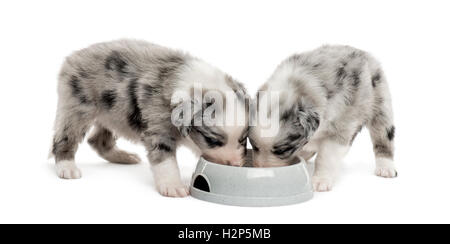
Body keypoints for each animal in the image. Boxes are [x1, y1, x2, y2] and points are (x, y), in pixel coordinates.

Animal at [50, 39, 248, 197]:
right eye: (212, 140)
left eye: (243, 139)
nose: (236, 164)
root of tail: (73, 56)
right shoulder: (158, 132)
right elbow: (166, 160)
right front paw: (173, 186)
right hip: (77, 109)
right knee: (64, 139)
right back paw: (67, 167)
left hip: (112, 115)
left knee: (97, 140)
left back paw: (124, 157)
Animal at [250, 44, 398, 192]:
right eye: (254, 146)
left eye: (282, 150)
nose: (261, 169)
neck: (298, 85)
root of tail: (364, 53)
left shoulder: (340, 127)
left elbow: (325, 157)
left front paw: (320, 181)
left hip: (380, 105)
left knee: (383, 137)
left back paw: (385, 167)